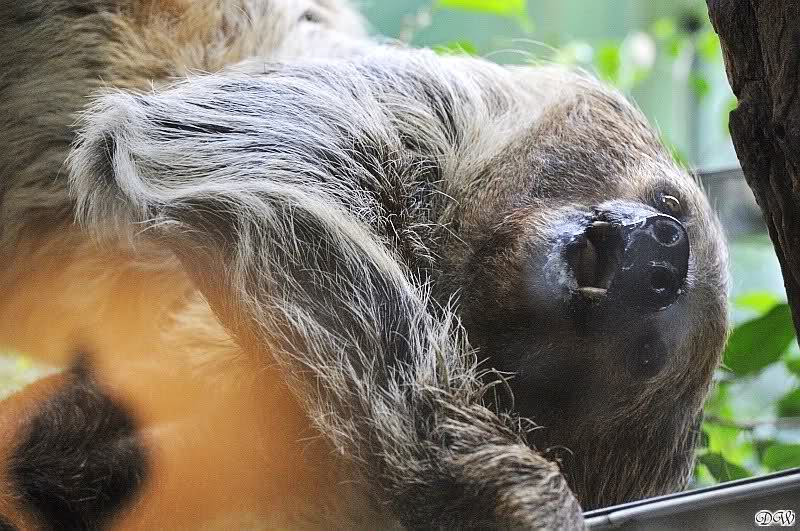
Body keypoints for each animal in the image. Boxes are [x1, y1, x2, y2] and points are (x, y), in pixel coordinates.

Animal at [0, 0, 729, 528]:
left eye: (646, 355)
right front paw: (517, 492)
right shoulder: (405, 109)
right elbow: (217, 147)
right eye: (669, 202)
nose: (664, 251)